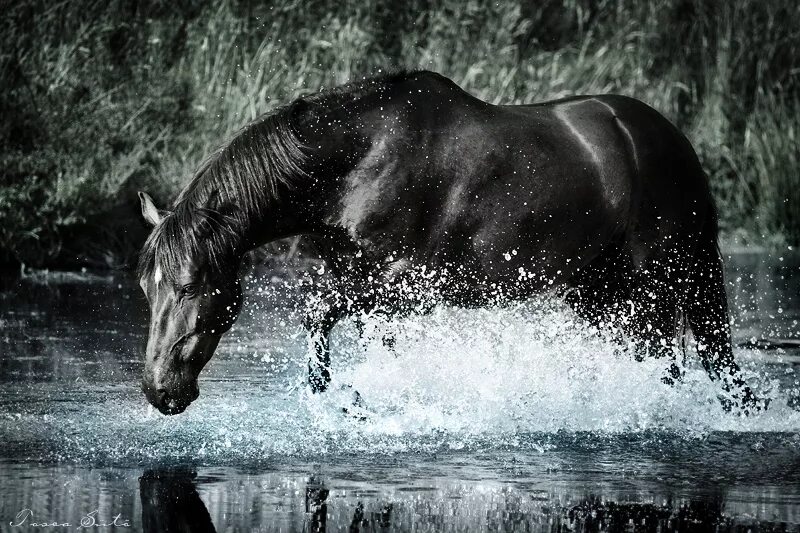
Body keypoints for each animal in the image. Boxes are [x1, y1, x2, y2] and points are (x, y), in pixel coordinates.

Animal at [138, 67, 764, 416]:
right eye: (148, 289)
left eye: (189, 286)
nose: (158, 390)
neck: (360, 164)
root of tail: (668, 137)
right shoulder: (364, 292)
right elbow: (345, 337)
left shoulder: (399, 288)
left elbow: (319, 318)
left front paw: (345, 398)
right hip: (605, 295)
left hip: (673, 278)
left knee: (700, 363)